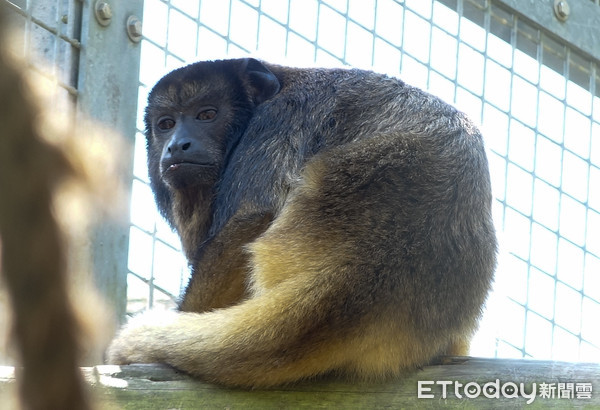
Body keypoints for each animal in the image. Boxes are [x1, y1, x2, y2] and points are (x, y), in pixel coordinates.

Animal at [108, 57, 496, 388]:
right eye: (166, 124)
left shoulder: (277, 119)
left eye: (207, 114)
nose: (177, 144)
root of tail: (363, 269)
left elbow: (251, 218)